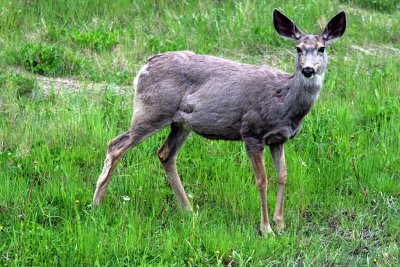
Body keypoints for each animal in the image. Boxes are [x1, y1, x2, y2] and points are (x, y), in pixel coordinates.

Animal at [92, 8, 346, 236]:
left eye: (322, 48)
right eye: (298, 48)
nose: (308, 70)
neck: (284, 101)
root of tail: (143, 68)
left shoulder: (279, 139)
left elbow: (283, 176)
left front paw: (280, 223)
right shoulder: (251, 132)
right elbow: (262, 179)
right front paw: (266, 229)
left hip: (180, 124)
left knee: (165, 154)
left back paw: (189, 211)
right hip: (152, 110)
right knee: (115, 145)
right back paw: (97, 204)